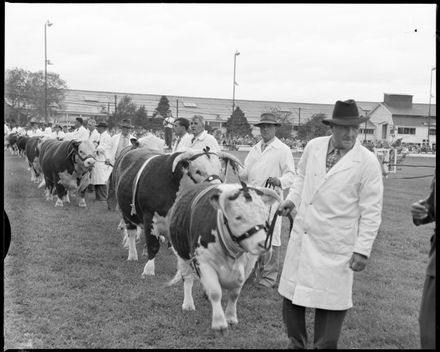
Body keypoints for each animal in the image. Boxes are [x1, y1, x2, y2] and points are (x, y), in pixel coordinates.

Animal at [111, 146, 242, 278]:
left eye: (220, 170)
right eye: (198, 171)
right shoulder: (150, 217)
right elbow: (153, 245)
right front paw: (148, 270)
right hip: (127, 213)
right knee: (131, 232)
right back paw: (132, 255)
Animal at [167, 182, 280, 332]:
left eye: (265, 215)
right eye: (238, 217)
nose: (263, 244)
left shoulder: (247, 266)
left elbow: (234, 294)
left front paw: (231, 317)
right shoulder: (203, 262)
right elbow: (215, 292)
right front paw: (219, 323)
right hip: (182, 255)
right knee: (187, 279)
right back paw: (188, 304)